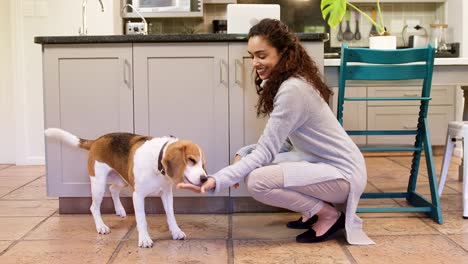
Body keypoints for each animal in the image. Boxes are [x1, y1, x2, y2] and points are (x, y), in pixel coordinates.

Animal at [45, 128, 207, 248]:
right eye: (191, 160)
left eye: (203, 163)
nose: (204, 178)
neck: (157, 162)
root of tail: (97, 140)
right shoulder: (138, 195)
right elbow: (142, 220)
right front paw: (144, 239)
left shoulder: (166, 194)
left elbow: (171, 216)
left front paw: (176, 232)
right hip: (98, 184)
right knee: (94, 207)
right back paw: (101, 226)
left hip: (122, 180)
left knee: (113, 189)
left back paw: (120, 210)